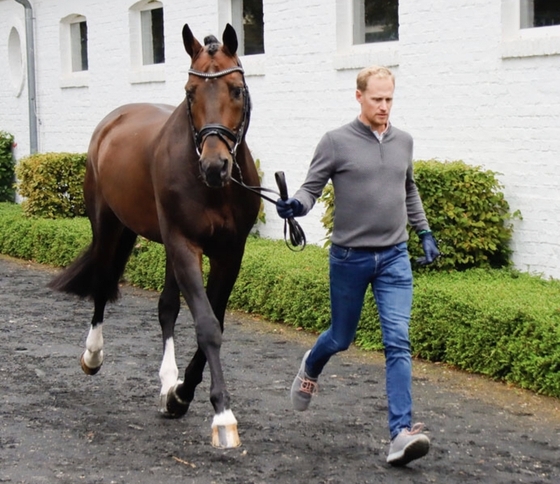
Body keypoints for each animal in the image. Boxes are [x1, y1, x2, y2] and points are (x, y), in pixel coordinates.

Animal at [49, 24, 260, 450]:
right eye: (190, 92)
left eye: (236, 89)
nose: (215, 166)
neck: (215, 190)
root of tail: (113, 120)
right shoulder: (184, 244)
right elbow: (206, 324)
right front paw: (222, 416)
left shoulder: (230, 252)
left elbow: (211, 320)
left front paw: (179, 393)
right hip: (110, 226)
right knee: (102, 283)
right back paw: (92, 355)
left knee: (166, 307)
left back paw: (167, 383)